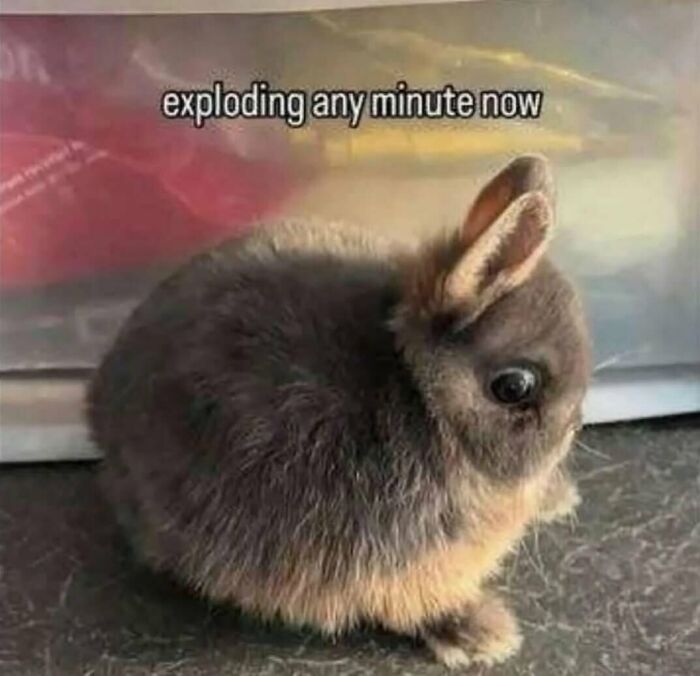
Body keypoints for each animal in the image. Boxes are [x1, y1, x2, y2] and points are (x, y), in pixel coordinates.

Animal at [86, 155, 590, 669]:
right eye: (514, 387)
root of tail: (98, 407)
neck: (419, 394)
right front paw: (484, 633)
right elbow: (416, 605)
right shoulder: (394, 564)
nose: (575, 426)